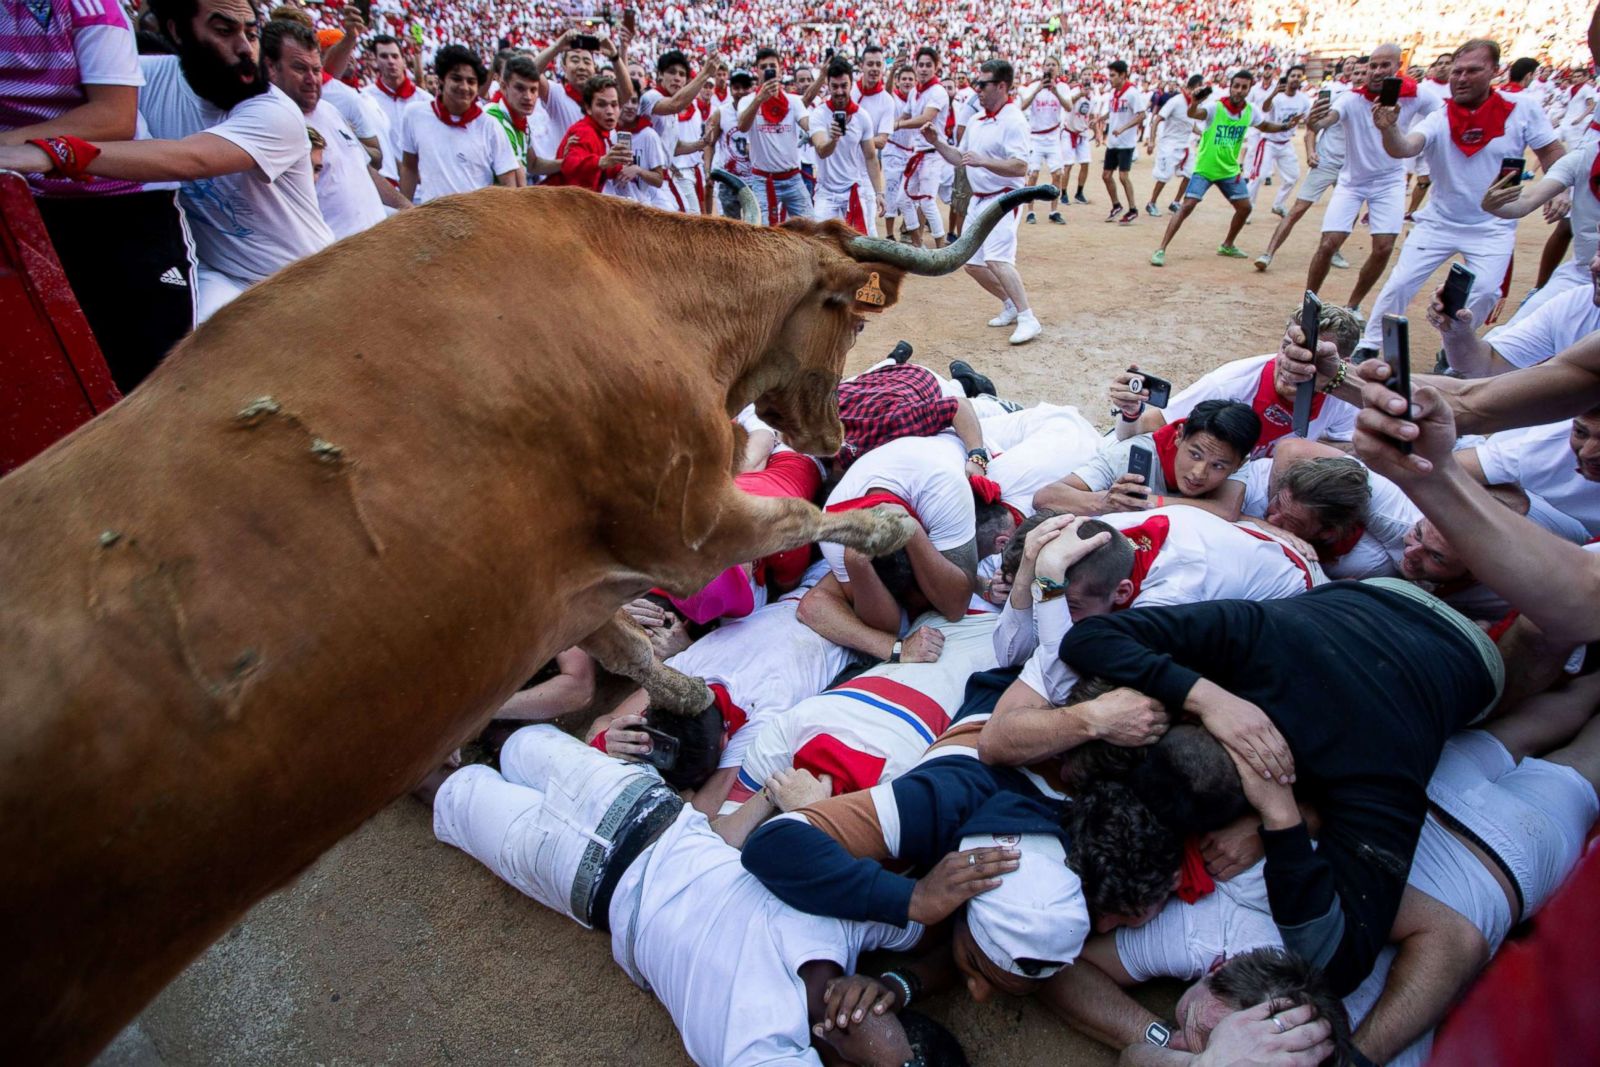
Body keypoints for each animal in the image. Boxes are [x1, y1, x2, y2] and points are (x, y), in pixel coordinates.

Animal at [0, 183, 1056, 1062]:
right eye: (846, 318)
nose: (836, 431)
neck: (631, 289)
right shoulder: (690, 519)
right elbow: (795, 519)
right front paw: (880, 526)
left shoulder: (569, 580)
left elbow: (624, 642)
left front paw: (682, 708)